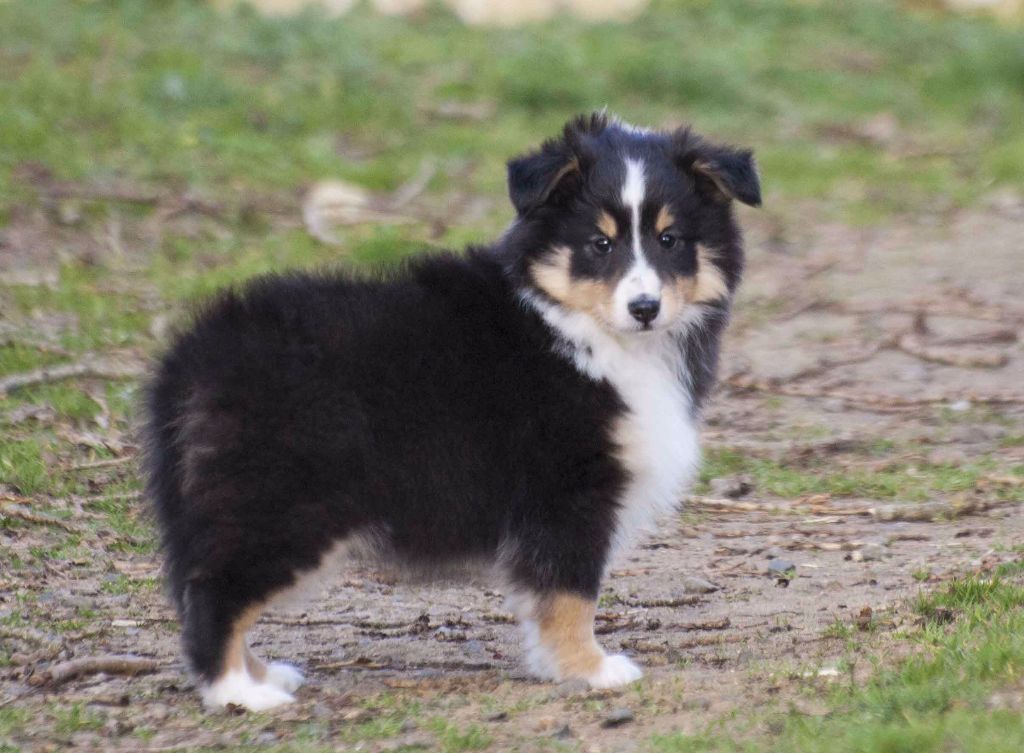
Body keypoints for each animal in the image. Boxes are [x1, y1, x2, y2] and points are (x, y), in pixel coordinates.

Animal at [144, 109, 761, 708]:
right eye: (599, 244)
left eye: (670, 239)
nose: (644, 307)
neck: (570, 323)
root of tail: (192, 355)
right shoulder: (568, 492)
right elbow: (572, 591)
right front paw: (590, 669)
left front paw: (557, 666)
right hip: (283, 502)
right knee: (216, 591)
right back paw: (239, 692)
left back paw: (263, 674)